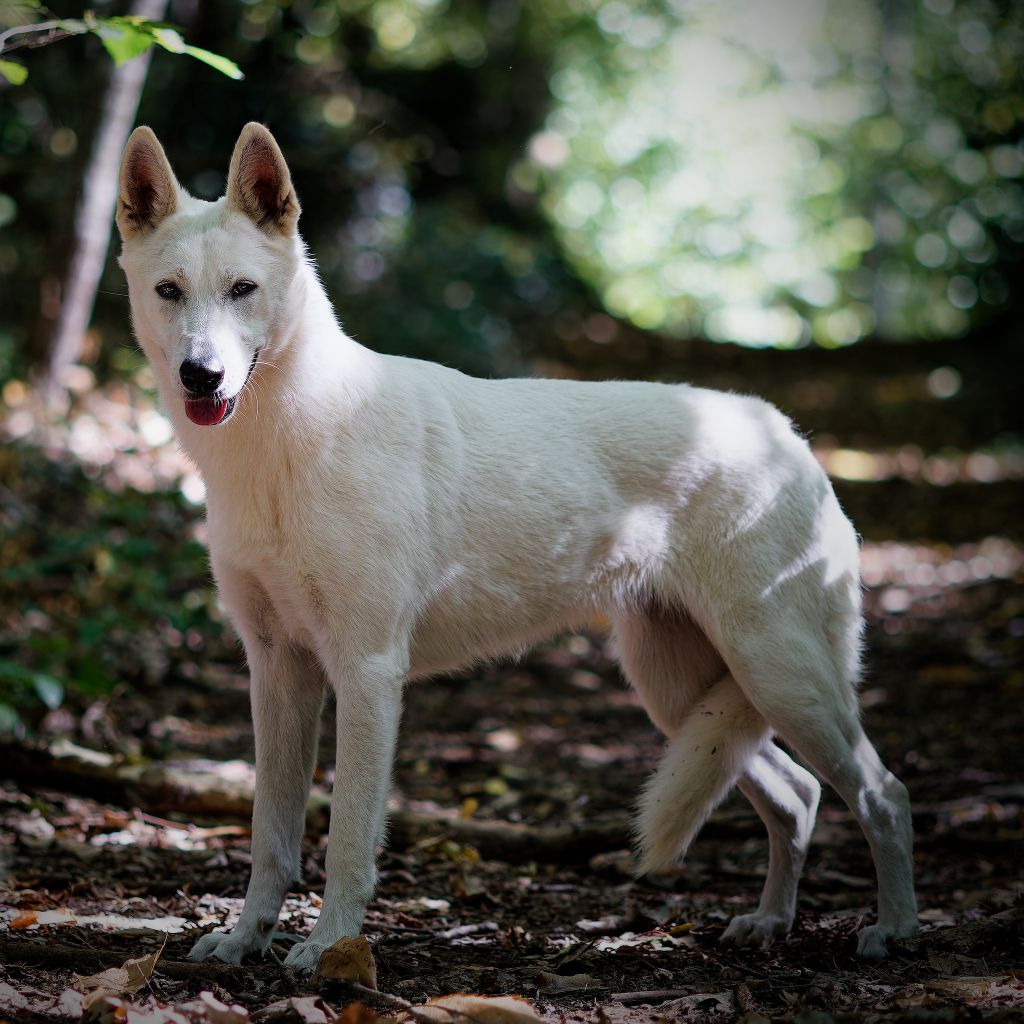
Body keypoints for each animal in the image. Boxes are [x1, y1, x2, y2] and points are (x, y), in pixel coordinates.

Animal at [116, 121, 917, 966]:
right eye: (169, 292)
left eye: (242, 289)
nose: (201, 376)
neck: (281, 449)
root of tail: (787, 434)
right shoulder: (277, 672)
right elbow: (271, 834)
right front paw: (246, 941)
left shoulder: (366, 671)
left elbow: (347, 840)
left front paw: (330, 949)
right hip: (685, 692)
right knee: (798, 796)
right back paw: (770, 922)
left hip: (777, 673)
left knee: (881, 793)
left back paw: (894, 928)